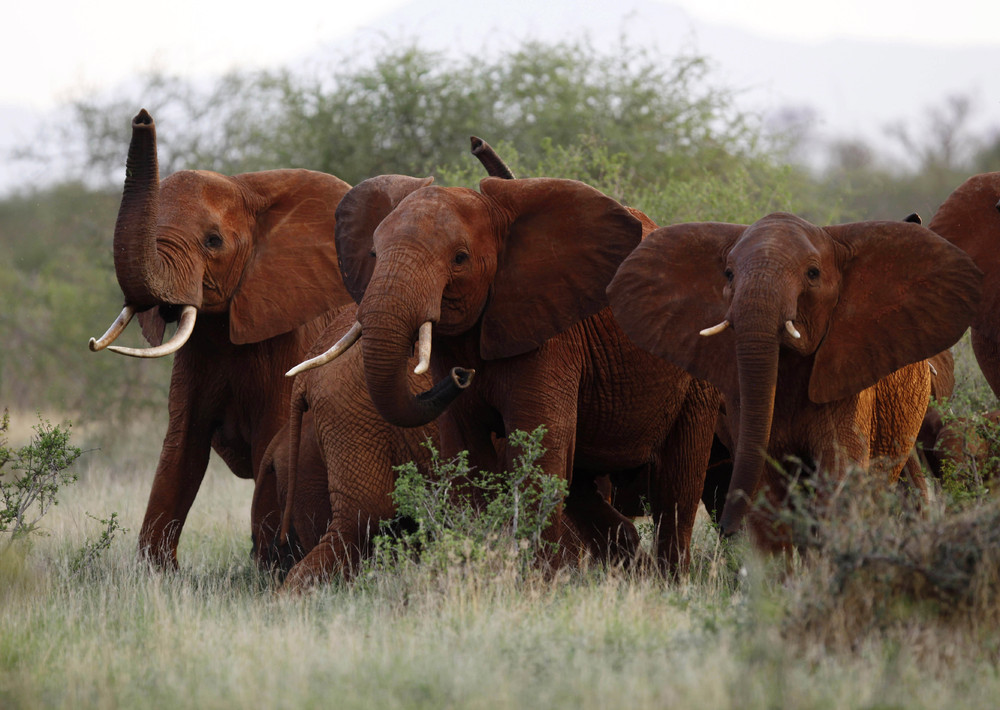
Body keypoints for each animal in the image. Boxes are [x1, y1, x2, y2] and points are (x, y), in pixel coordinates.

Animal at [89, 108, 356, 572]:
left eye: (213, 242)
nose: (142, 117)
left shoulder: (290, 338)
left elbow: (272, 440)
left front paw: (266, 569)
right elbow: (181, 447)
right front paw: (157, 574)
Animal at [296, 174, 720, 572]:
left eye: (460, 258)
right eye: (373, 253)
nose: (461, 376)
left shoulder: (549, 334)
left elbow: (538, 453)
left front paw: (540, 584)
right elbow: (466, 458)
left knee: (678, 487)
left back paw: (669, 580)